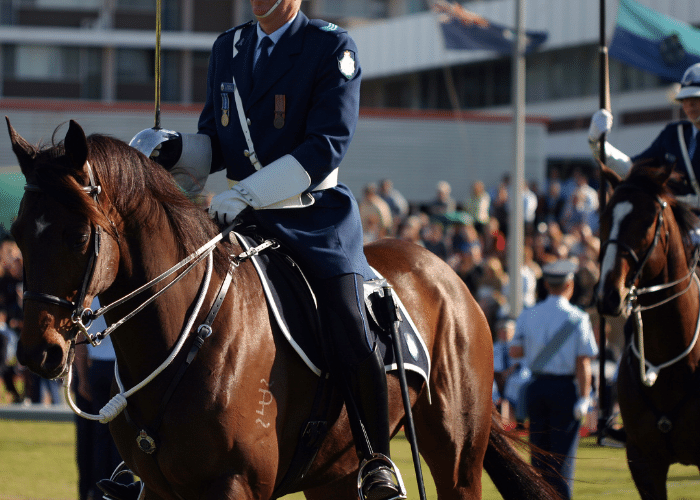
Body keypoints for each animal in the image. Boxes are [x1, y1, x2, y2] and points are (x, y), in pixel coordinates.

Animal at [8, 120, 556, 500]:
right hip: (335, 474)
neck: (193, 331)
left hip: (456, 459)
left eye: (79, 235)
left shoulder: (236, 485)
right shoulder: (163, 490)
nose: (38, 352)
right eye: (16, 233)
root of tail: (448, 275)